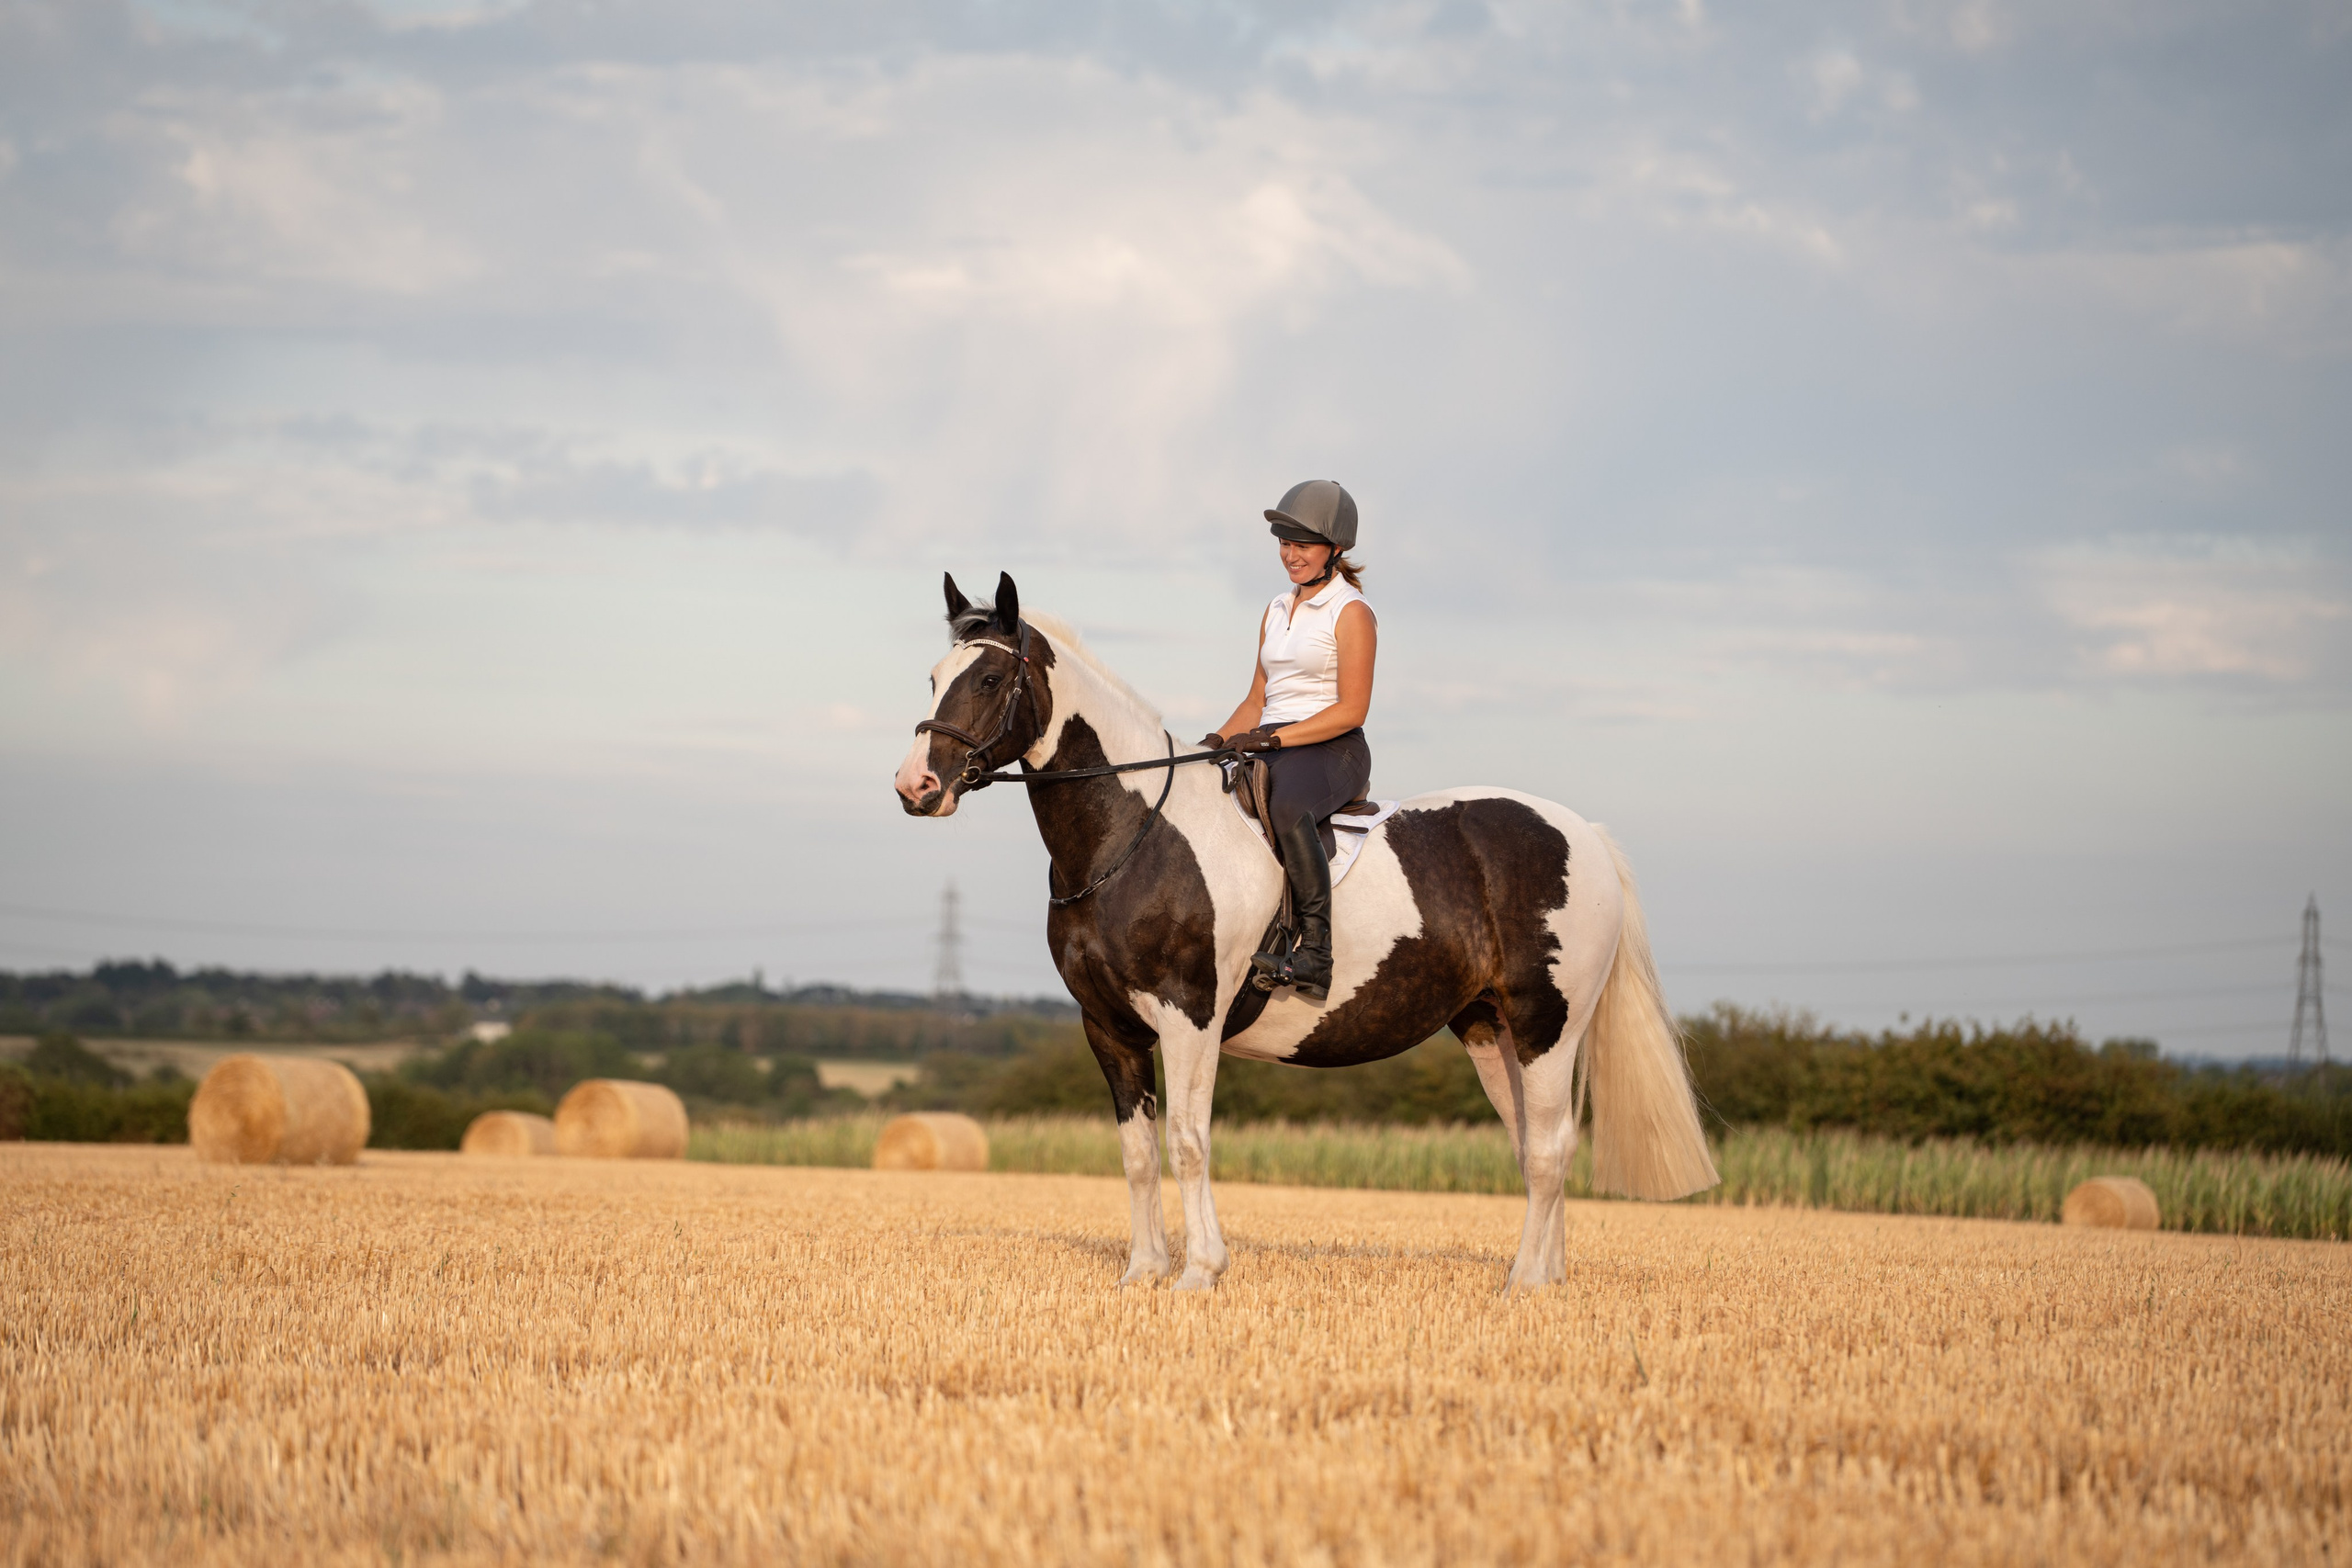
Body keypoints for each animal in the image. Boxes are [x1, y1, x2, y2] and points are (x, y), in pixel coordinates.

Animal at [893, 572, 1719, 1291]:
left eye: (989, 680)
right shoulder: (1110, 1027)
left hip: (1550, 1024)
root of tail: (1585, 833)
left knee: (1549, 1147)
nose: (916, 787)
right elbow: (1137, 1153)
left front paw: (1199, 1273)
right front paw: (1141, 1273)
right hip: (1492, 1029)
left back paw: (1523, 1285)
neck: (1133, 830)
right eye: (934, 677)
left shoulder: (1189, 1017)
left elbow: (1188, 1142)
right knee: (1530, 1144)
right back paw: (1547, 1277)